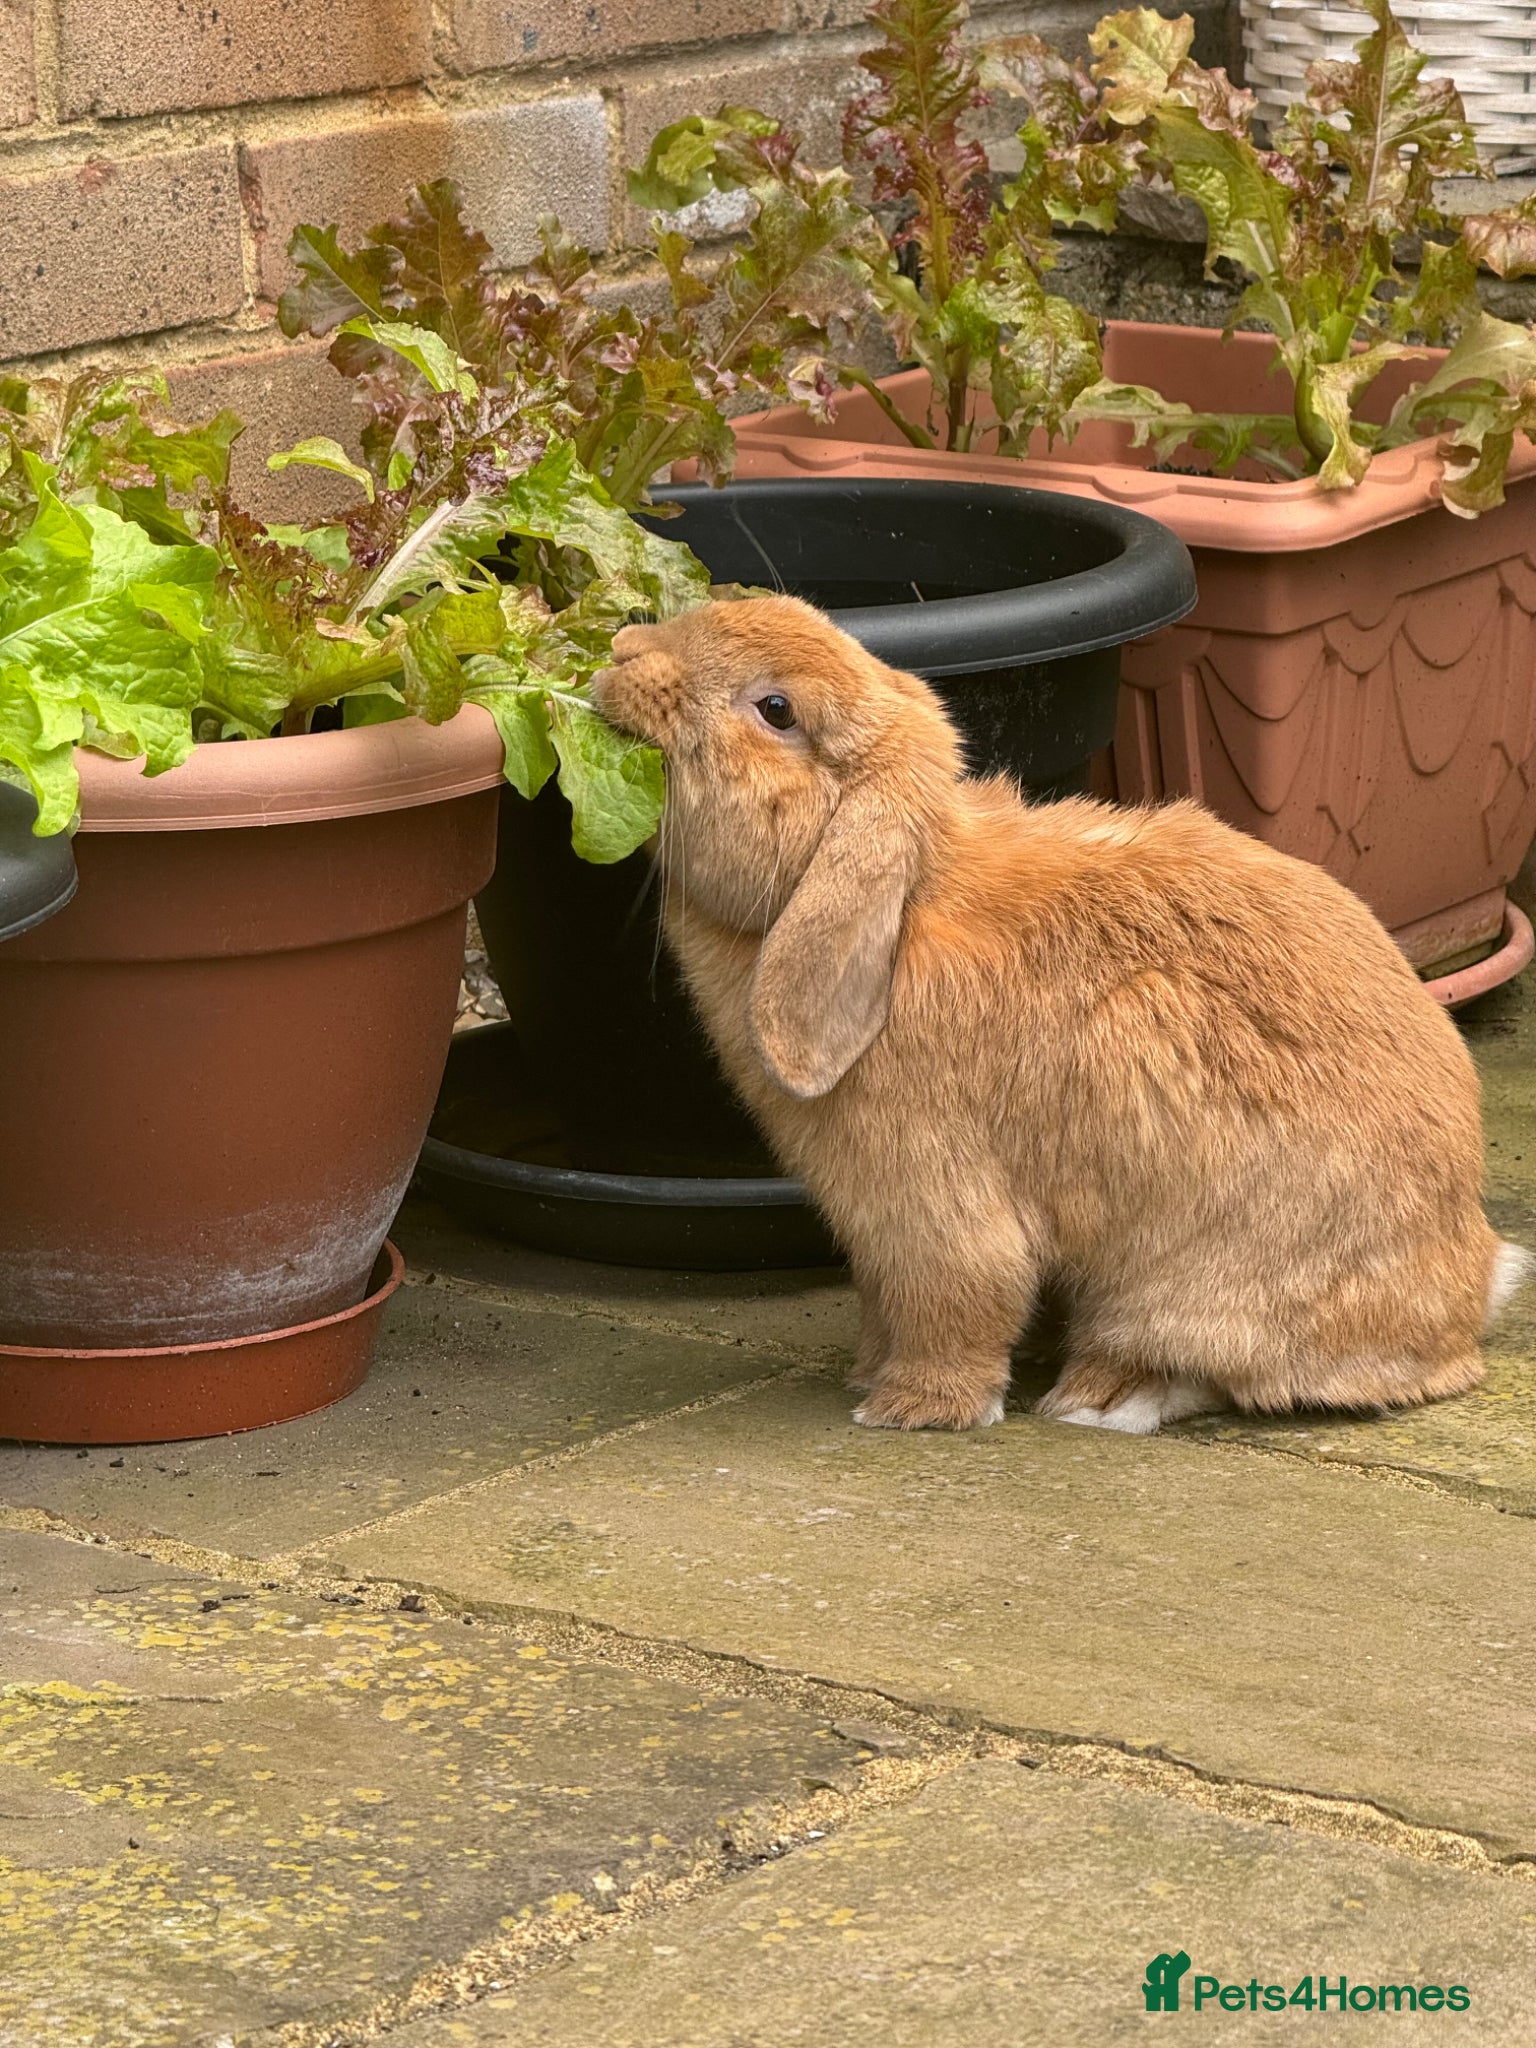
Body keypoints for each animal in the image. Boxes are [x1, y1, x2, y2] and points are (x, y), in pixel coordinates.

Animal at [591, 594, 1531, 1434]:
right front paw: (867, 1372)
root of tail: (1472, 1279)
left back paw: (1102, 1398)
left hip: (1188, 1282)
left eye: (777, 710)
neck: (904, 904)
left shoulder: (929, 1196)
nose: (620, 653)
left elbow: (960, 1296)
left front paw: (909, 1408)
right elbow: (885, 1303)